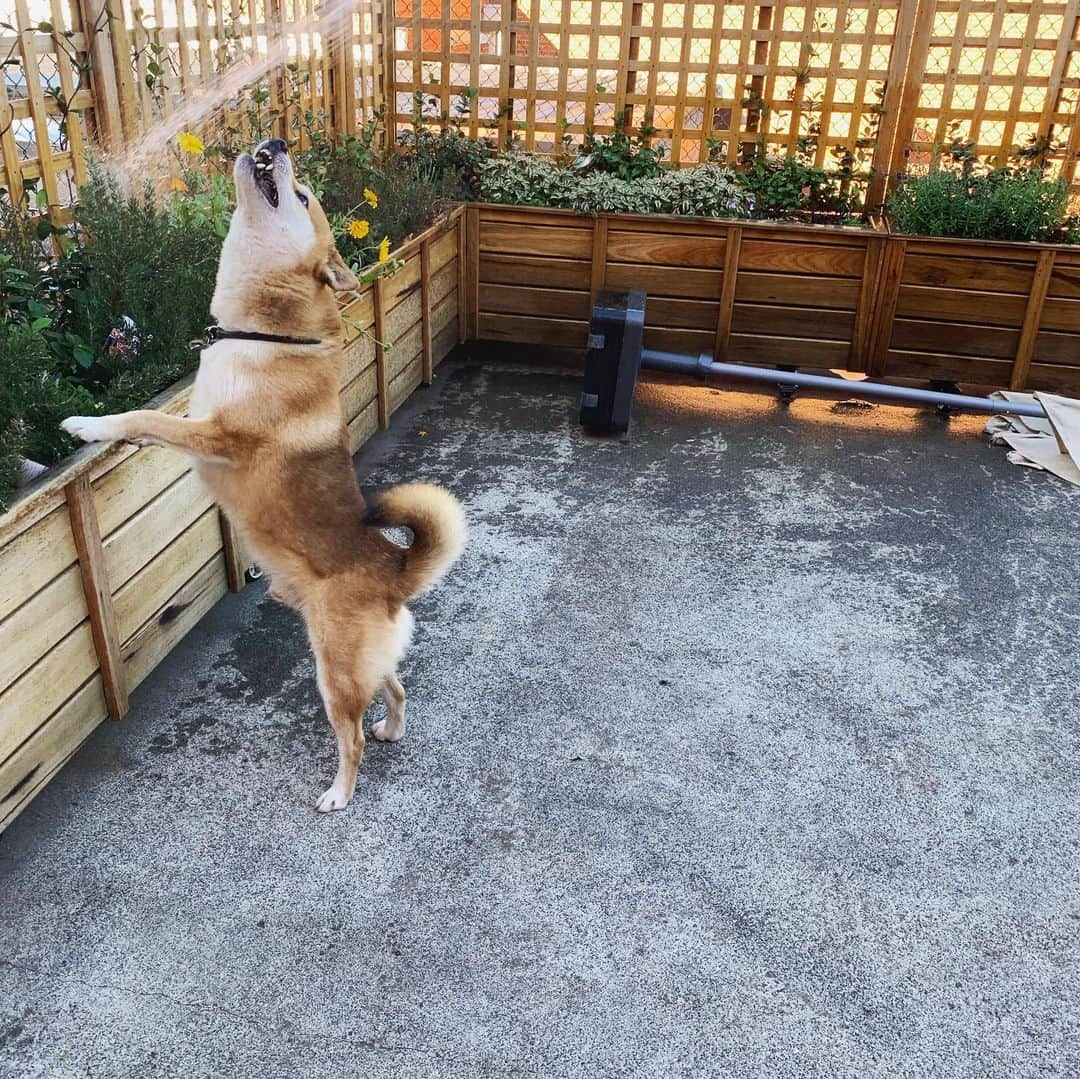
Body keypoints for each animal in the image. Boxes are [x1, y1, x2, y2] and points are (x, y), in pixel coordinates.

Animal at [62, 137, 468, 812]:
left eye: (302, 196)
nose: (276, 143)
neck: (267, 334)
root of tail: (394, 567)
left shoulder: (215, 435)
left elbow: (146, 416)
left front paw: (90, 425)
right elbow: (154, 422)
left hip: (333, 673)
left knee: (352, 736)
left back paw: (339, 791)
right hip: (366, 662)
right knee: (397, 691)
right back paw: (392, 728)